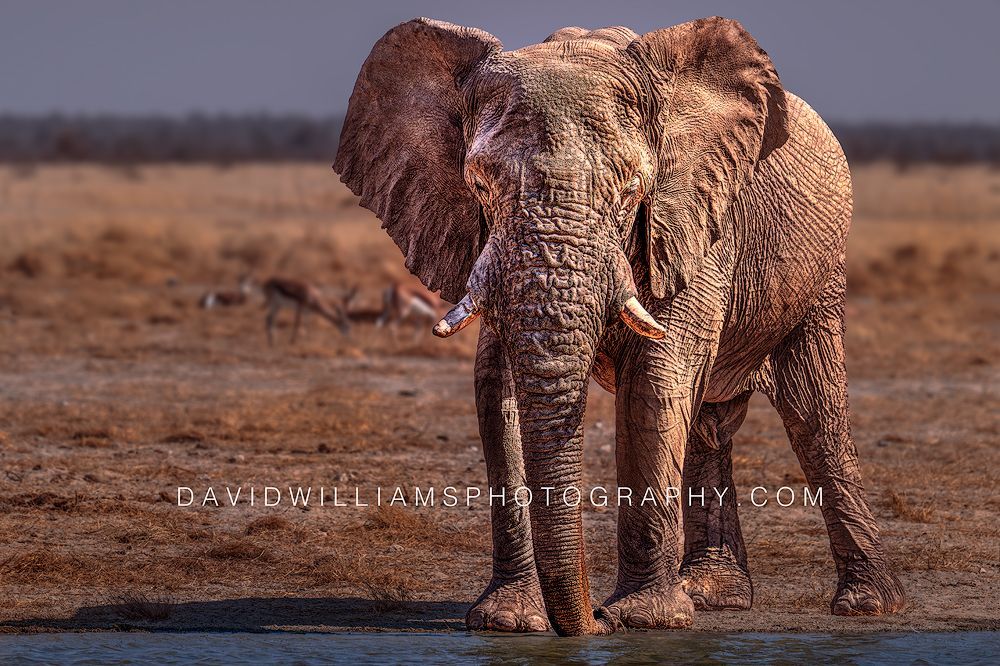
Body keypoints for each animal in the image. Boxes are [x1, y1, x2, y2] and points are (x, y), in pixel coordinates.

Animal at [334, 16, 905, 636]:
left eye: (632, 189)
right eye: (480, 185)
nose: (594, 621)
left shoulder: (693, 224)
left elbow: (656, 378)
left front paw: (643, 619)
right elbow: (494, 384)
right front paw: (509, 621)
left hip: (819, 277)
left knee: (814, 416)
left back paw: (867, 604)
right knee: (709, 424)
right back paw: (711, 594)